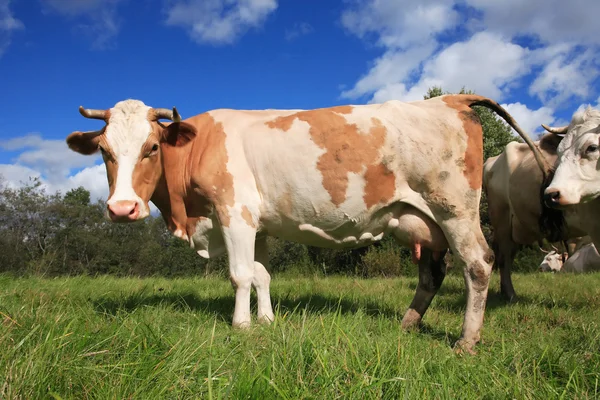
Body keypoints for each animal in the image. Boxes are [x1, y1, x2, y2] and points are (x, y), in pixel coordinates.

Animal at [64, 95, 540, 352]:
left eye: (151, 147)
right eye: (105, 150)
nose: (122, 208)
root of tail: (450, 98)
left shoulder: (234, 212)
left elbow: (240, 275)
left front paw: (241, 326)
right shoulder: (257, 223)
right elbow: (261, 275)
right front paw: (267, 321)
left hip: (454, 209)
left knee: (478, 264)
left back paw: (466, 341)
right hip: (425, 221)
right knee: (433, 272)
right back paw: (407, 324)